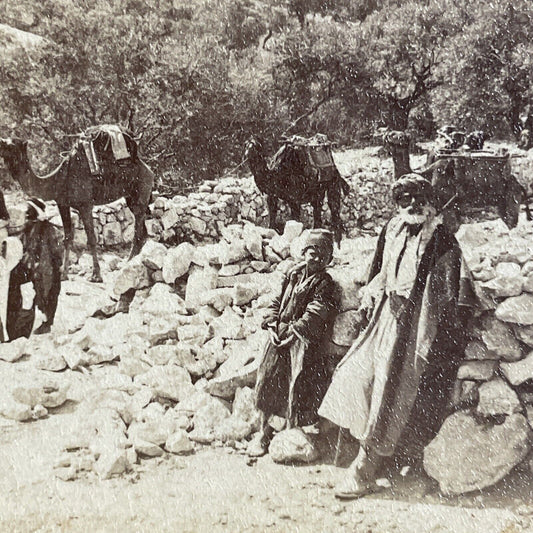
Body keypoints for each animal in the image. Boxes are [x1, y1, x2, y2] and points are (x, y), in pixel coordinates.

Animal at [0, 130, 154, 282]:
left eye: (11, 145)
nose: (1, 142)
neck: (58, 180)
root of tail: (149, 170)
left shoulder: (85, 205)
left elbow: (91, 239)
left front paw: (96, 275)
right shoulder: (63, 204)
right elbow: (67, 238)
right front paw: (63, 275)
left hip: (142, 190)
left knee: (138, 228)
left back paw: (129, 260)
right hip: (130, 198)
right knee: (141, 227)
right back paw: (134, 260)